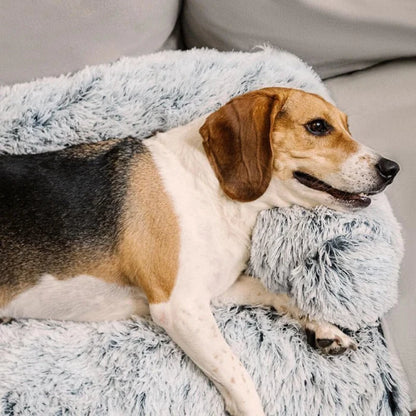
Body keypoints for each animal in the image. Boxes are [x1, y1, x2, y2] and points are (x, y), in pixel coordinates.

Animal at [0, 88, 398, 416]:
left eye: (346, 125)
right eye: (317, 126)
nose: (392, 168)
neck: (210, 185)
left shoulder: (214, 291)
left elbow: (278, 292)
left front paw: (324, 327)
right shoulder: (180, 308)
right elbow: (239, 377)